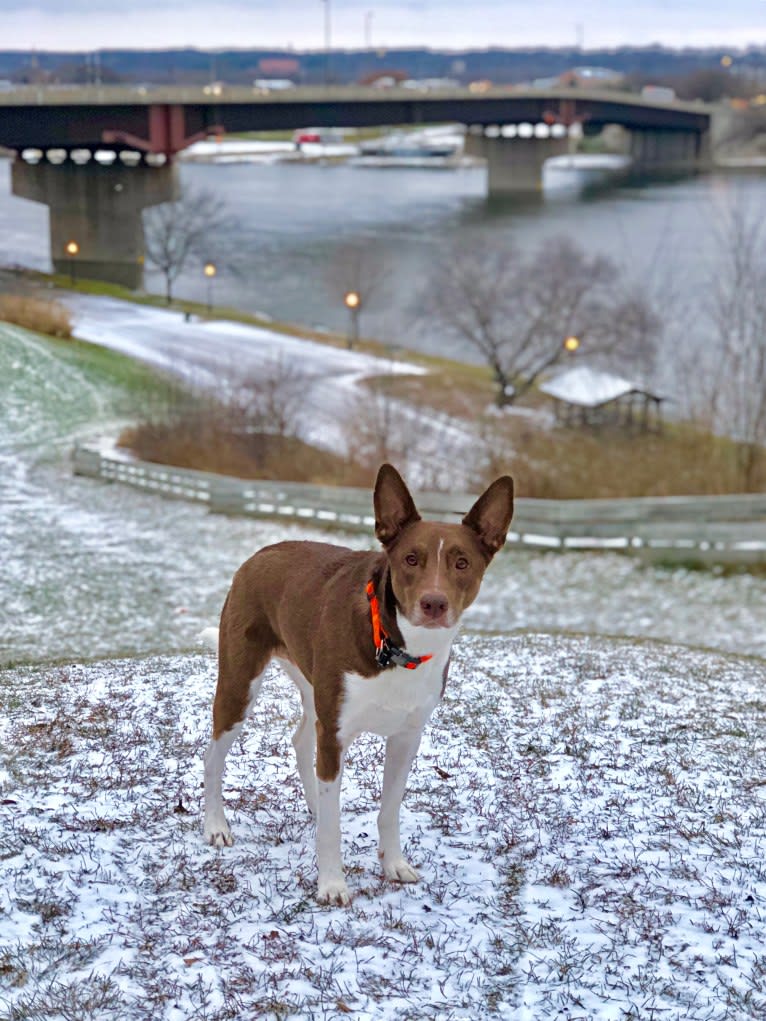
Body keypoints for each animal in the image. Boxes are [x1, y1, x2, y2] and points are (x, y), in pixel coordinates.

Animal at [204, 463, 516, 902]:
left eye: (462, 563)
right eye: (411, 559)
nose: (434, 604)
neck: (397, 648)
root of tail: (260, 552)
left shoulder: (406, 736)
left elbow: (389, 809)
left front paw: (394, 864)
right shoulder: (336, 734)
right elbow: (333, 828)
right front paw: (332, 883)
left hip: (311, 682)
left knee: (302, 739)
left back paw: (314, 802)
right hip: (240, 683)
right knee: (214, 754)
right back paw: (215, 825)